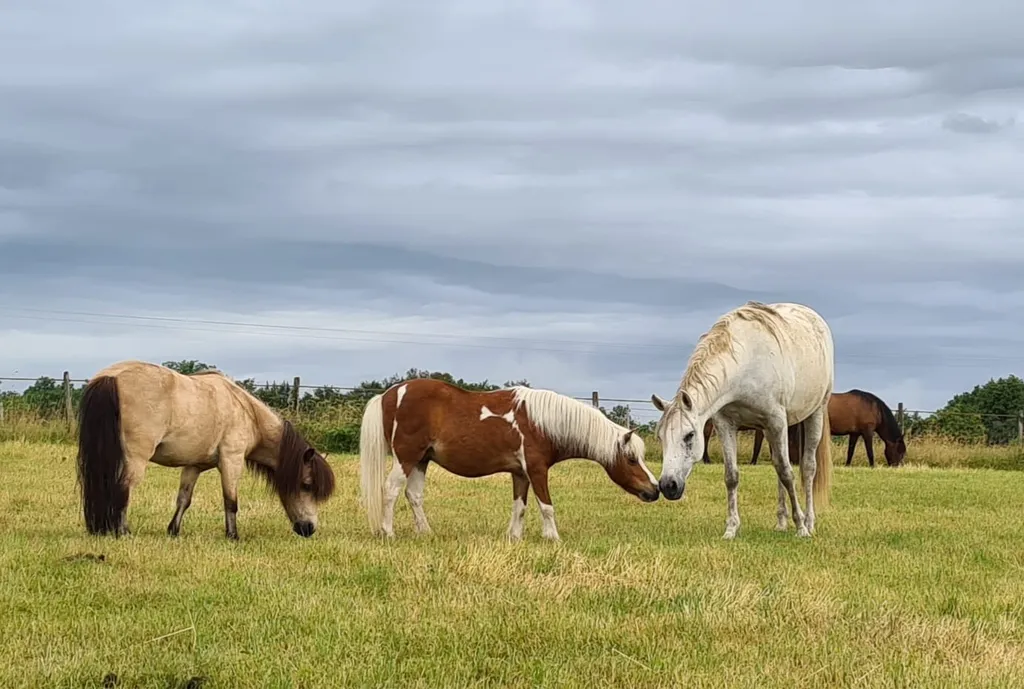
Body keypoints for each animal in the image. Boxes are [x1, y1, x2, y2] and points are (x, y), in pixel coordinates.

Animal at [76, 360, 336, 540]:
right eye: (306, 484)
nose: (309, 529)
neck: (246, 411)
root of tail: (111, 377)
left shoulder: (194, 466)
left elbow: (184, 499)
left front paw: (173, 531)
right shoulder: (231, 461)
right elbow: (231, 501)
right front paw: (233, 536)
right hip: (134, 458)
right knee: (123, 488)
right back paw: (123, 532)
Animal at [357, 378, 659, 541]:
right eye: (632, 459)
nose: (654, 490)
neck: (541, 423)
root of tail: (389, 394)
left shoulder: (520, 473)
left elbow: (520, 507)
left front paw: (514, 537)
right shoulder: (537, 470)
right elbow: (546, 506)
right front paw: (553, 537)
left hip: (422, 460)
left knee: (414, 495)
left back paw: (425, 532)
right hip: (406, 457)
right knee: (391, 490)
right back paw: (388, 532)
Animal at [651, 301, 834, 539]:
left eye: (689, 435)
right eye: (660, 437)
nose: (667, 486)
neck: (746, 364)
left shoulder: (777, 421)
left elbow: (788, 473)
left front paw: (801, 526)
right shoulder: (726, 425)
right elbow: (732, 476)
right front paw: (731, 528)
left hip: (815, 413)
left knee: (808, 468)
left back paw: (809, 523)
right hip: (770, 430)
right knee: (778, 467)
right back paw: (781, 522)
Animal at [745, 391, 907, 467]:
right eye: (900, 451)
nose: (896, 466)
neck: (874, 408)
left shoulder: (854, 433)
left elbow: (851, 450)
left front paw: (847, 464)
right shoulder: (867, 432)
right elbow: (870, 451)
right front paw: (872, 465)